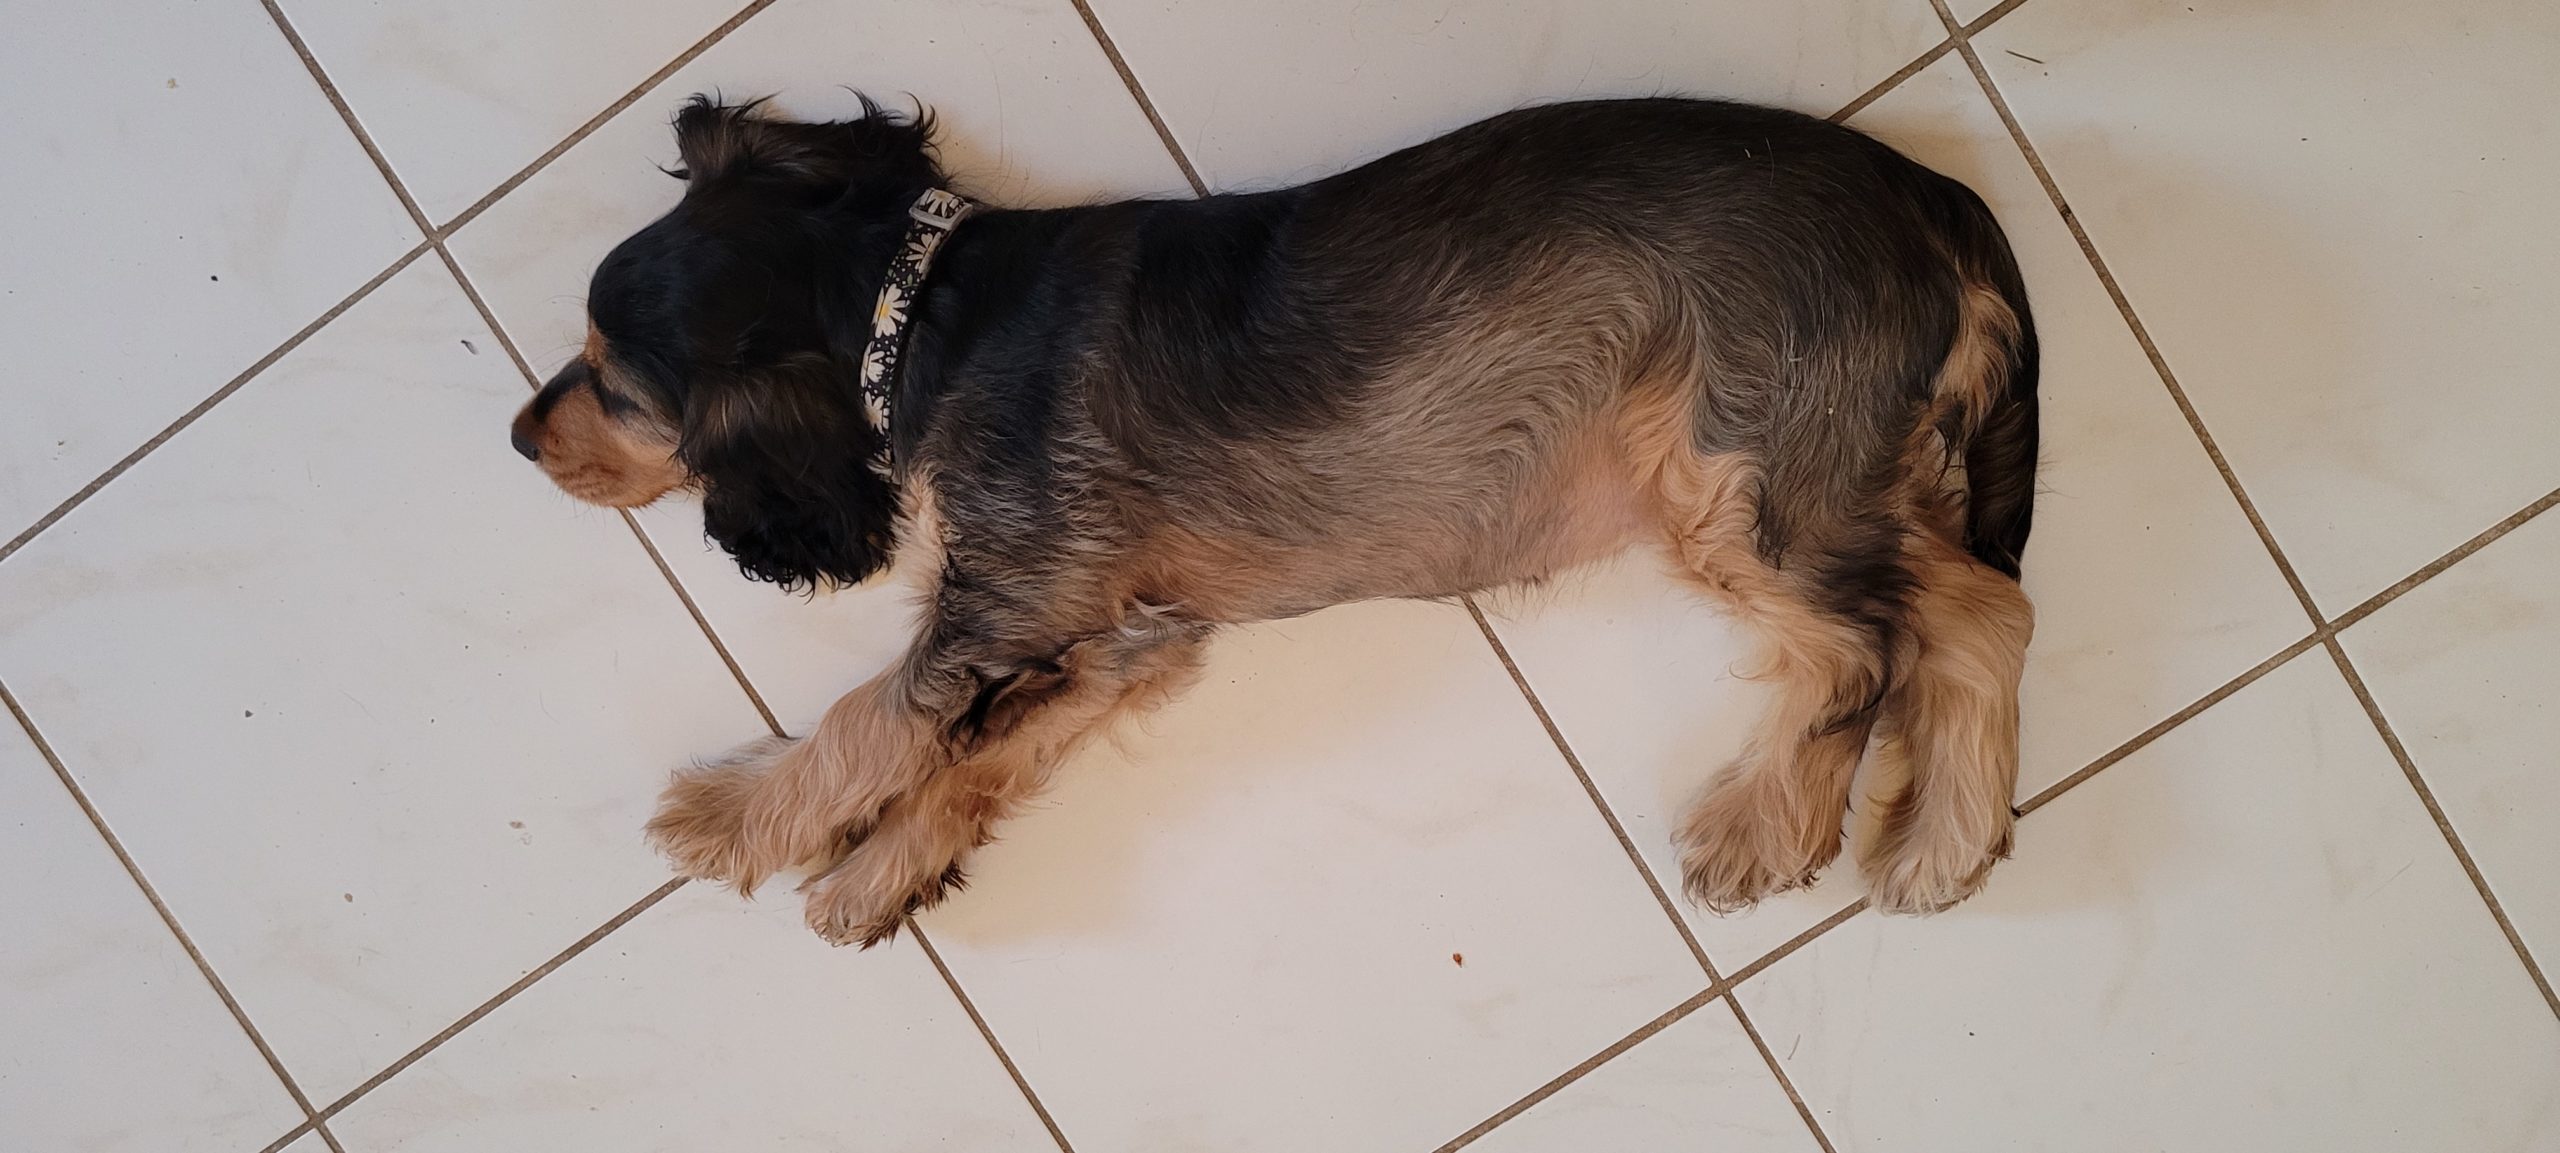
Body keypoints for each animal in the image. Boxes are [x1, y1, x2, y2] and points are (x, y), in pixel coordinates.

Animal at [514, 94, 2037, 948]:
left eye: (612, 380)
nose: (521, 437)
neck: (926, 299)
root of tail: (1934, 195)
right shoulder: (1129, 633)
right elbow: (986, 750)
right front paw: (889, 869)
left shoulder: (1001, 604)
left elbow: (872, 720)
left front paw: (735, 818)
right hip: (1833, 468)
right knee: (1977, 606)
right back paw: (1946, 842)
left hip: (1741, 471)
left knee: (1872, 644)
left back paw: (1774, 829)